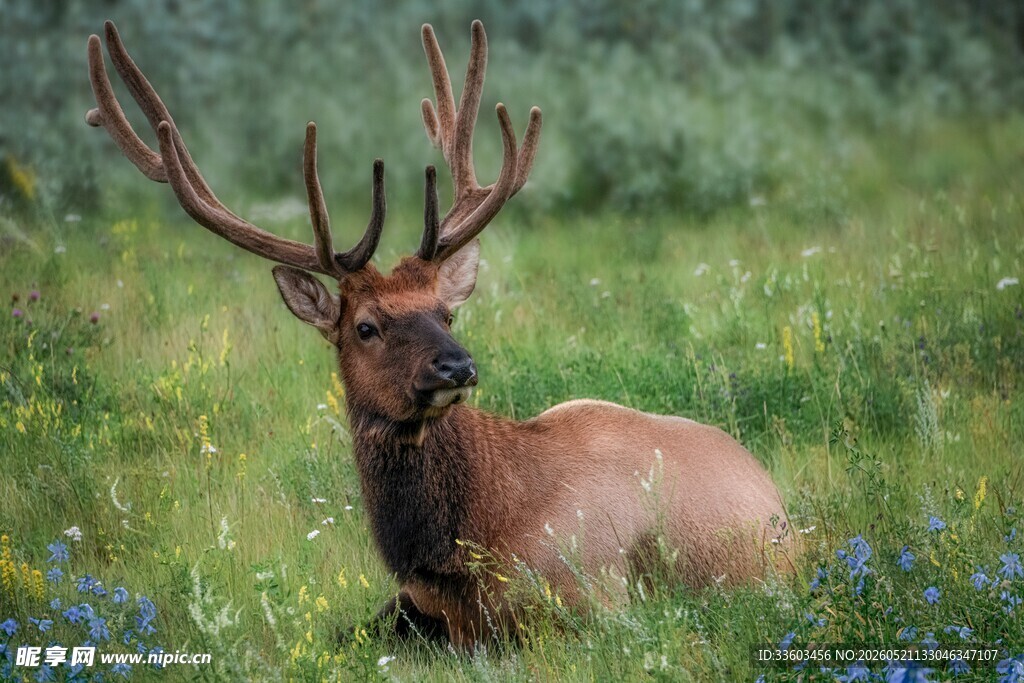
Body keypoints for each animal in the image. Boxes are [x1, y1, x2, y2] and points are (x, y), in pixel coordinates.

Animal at [86, 20, 793, 650]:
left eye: (444, 312)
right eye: (366, 326)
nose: (458, 367)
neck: (463, 550)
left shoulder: (602, 595)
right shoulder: (412, 603)